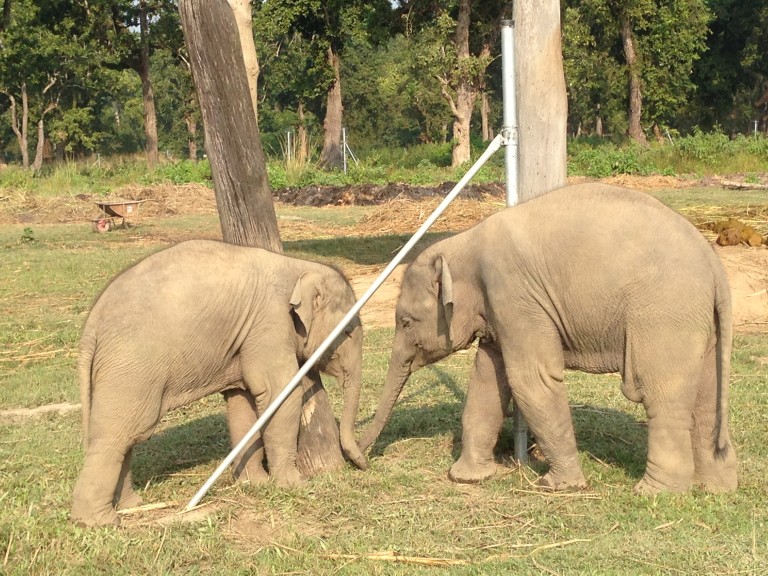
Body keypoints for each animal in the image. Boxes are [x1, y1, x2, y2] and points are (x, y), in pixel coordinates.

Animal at [72, 238, 368, 528]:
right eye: (347, 331)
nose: (363, 462)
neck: (298, 266)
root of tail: (91, 325)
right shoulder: (270, 323)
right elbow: (279, 394)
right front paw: (293, 485)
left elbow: (243, 404)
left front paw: (256, 484)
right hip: (131, 367)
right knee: (119, 435)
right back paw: (99, 522)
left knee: (126, 435)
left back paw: (130, 505)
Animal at [360, 183, 736, 496]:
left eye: (406, 323)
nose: (361, 461)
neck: (464, 243)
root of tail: (714, 266)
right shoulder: (497, 311)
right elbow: (487, 381)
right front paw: (467, 478)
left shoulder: (513, 293)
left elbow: (531, 379)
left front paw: (559, 486)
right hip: (702, 324)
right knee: (706, 399)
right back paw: (716, 488)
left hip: (664, 314)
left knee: (661, 394)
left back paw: (655, 493)